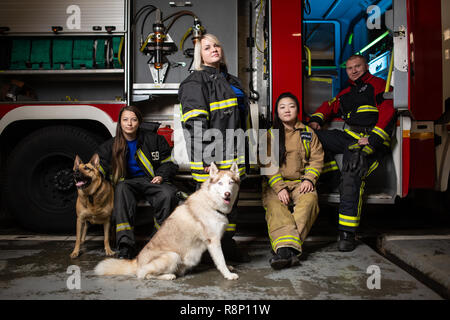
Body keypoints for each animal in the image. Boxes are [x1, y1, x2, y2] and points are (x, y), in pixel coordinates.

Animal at [95, 162, 241, 280]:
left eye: (231, 182)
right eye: (220, 183)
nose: (227, 194)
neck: (212, 203)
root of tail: (137, 261)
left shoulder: (212, 242)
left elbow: (219, 259)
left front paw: (228, 267)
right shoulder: (213, 241)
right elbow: (220, 260)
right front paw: (228, 274)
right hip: (172, 256)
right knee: (143, 275)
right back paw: (168, 276)